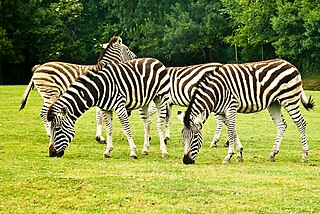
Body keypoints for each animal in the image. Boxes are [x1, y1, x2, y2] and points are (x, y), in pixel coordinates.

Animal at [181, 59, 314, 165]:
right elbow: (233, 130)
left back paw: (304, 156)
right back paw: (272, 154)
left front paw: (228, 156)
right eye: (183, 137)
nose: (186, 161)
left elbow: (230, 131)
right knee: (282, 125)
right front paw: (239, 154)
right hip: (274, 103)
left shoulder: (231, 107)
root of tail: (290, 64)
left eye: (195, 137)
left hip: (290, 99)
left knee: (301, 124)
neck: (215, 92)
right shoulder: (221, 112)